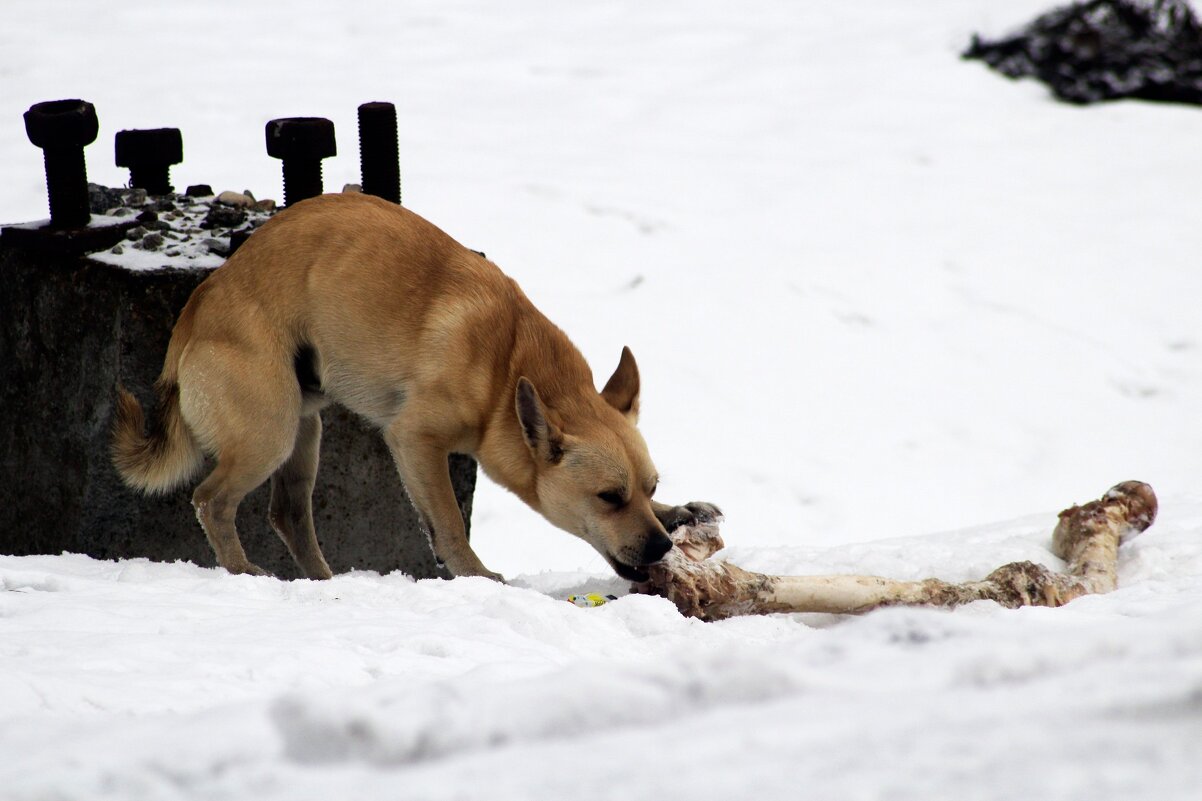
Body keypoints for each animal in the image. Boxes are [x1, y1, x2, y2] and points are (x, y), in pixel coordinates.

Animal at [110, 193, 711, 579]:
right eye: (609, 498)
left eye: (650, 489)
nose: (661, 546)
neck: (505, 367)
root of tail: (192, 318)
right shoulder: (415, 440)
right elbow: (449, 522)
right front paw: (475, 574)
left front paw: (679, 512)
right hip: (269, 432)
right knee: (211, 502)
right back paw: (242, 570)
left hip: (305, 430)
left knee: (288, 514)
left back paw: (323, 581)